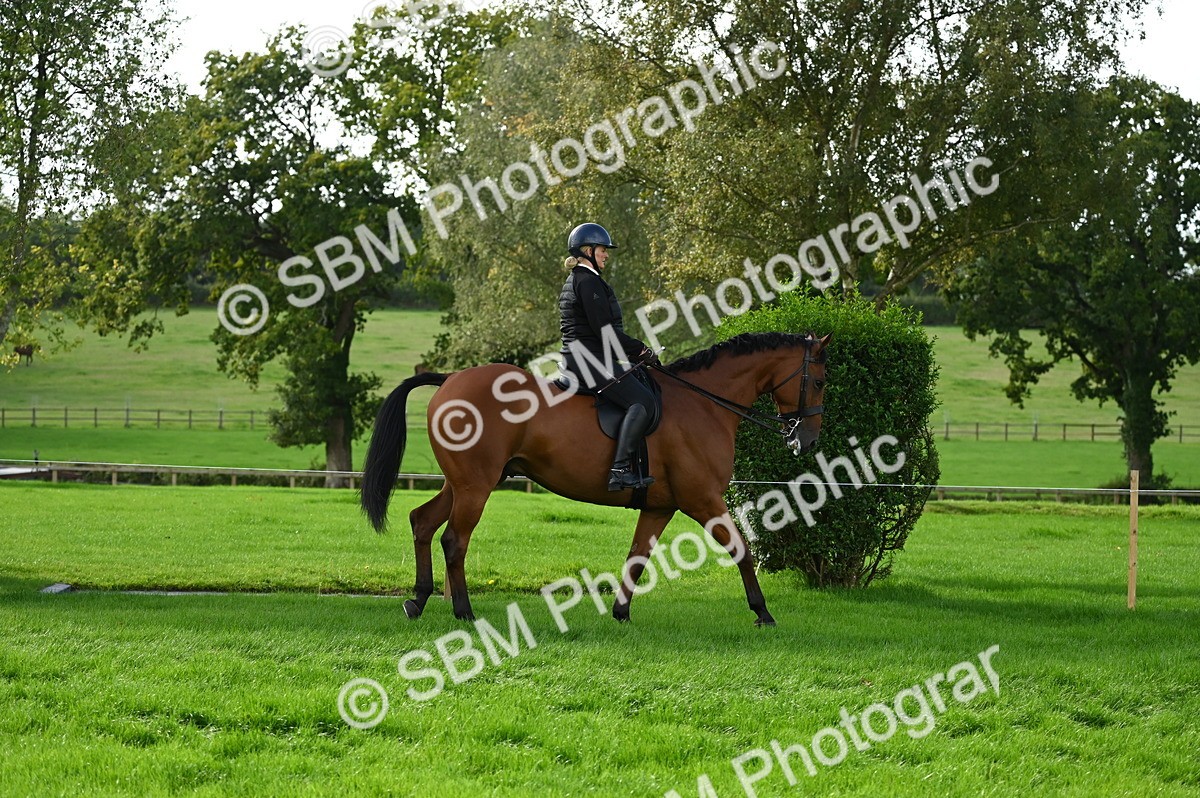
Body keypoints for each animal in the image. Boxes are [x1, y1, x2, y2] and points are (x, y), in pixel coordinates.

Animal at [360, 331, 831, 626]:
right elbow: (742, 550)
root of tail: (451, 379)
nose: (805, 440)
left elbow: (637, 557)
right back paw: (463, 611)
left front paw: (620, 613)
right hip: (476, 487)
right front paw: (762, 611)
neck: (704, 403)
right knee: (454, 540)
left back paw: (418, 600)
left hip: (463, 484)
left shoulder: (661, 506)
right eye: (821, 382)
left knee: (423, 523)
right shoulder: (704, 500)